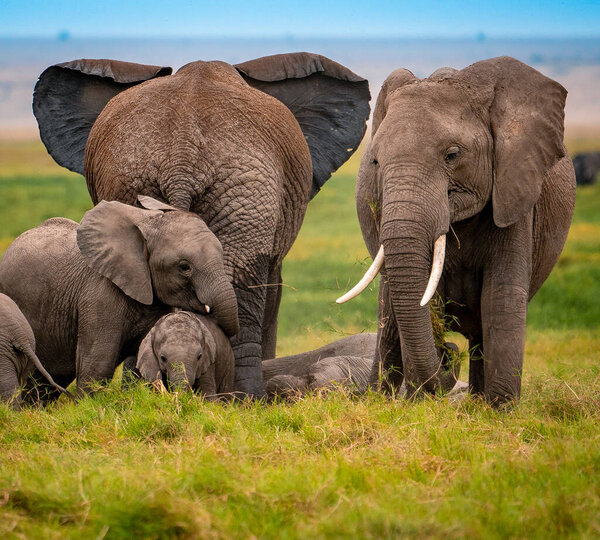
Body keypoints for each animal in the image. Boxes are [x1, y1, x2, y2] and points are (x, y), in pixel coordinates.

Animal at [338, 57, 576, 408]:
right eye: (375, 162)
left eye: (452, 155)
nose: (449, 354)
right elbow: (427, 299)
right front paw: (421, 405)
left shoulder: (515, 191)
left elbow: (501, 297)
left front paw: (501, 411)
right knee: (390, 315)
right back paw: (379, 398)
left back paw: (478, 402)